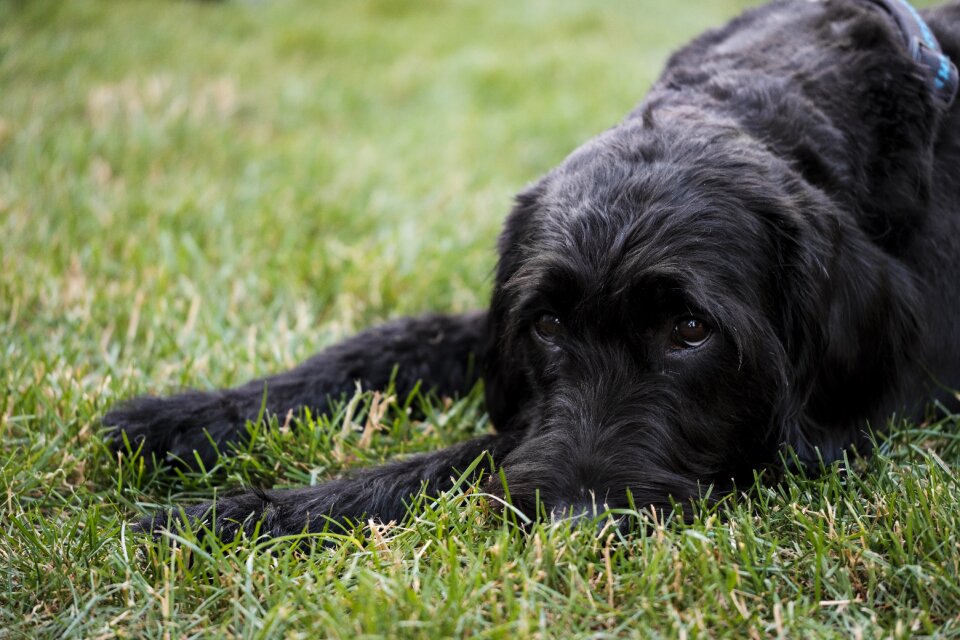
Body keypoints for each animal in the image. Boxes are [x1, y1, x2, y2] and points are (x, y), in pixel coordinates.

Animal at [105, 0, 960, 536]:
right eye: (548, 324)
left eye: (690, 329)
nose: (575, 521)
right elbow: (390, 344)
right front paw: (185, 419)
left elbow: (467, 457)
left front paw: (238, 515)